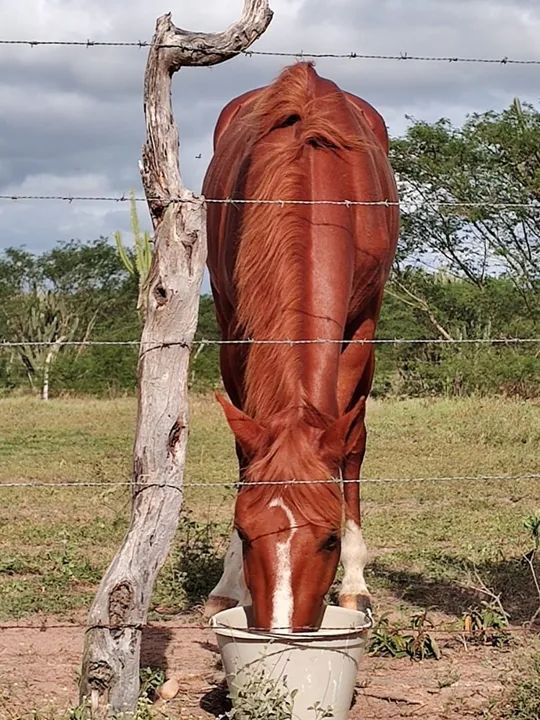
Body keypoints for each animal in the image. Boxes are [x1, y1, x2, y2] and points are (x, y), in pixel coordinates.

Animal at [202, 62, 399, 631]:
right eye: (245, 533)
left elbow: (350, 443)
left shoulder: (361, 326)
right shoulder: (233, 324)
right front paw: (229, 585)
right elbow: (243, 451)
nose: (283, 632)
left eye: (329, 538)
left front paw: (354, 587)